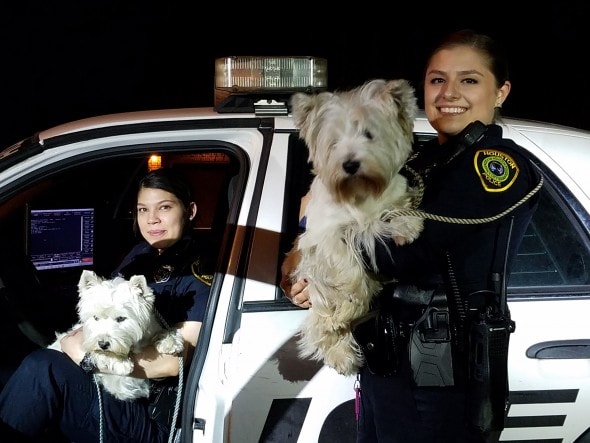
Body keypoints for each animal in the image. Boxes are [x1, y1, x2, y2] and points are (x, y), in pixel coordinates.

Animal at [50, 270, 185, 402]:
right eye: (95, 317)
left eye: (121, 318)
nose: (103, 344)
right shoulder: (121, 384)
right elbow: (98, 353)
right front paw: (120, 361)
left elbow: (161, 332)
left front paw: (170, 341)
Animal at [288, 79, 424, 374]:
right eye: (333, 141)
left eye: (369, 134)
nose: (350, 164)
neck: (359, 190)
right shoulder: (324, 236)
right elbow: (346, 265)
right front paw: (350, 301)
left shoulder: (395, 197)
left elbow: (395, 211)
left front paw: (406, 225)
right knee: (323, 325)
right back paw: (341, 349)